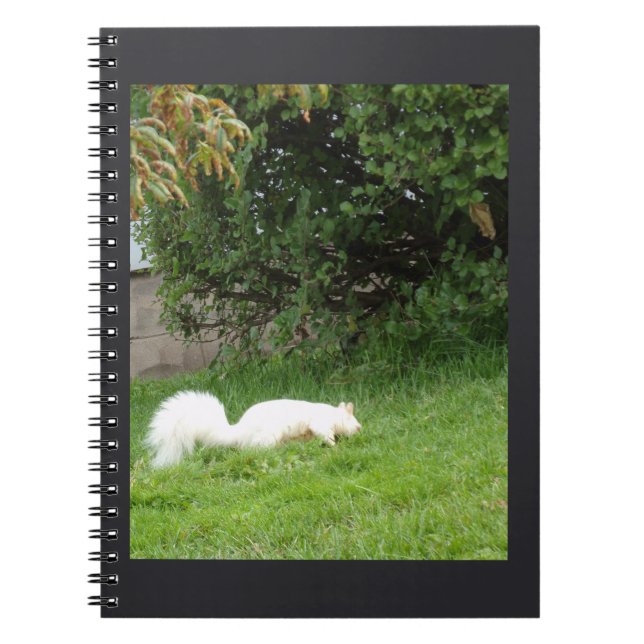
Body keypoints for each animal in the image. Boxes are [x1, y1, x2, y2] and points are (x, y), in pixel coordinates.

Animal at [146, 391, 362, 468]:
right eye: (357, 425)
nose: (360, 431)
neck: (334, 415)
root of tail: (239, 432)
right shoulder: (320, 422)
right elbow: (324, 433)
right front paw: (334, 445)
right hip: (267, 437)